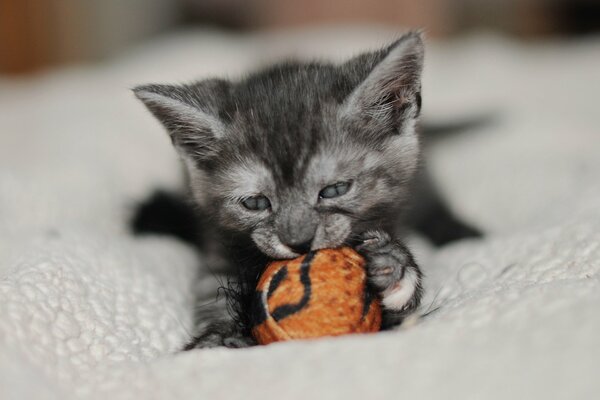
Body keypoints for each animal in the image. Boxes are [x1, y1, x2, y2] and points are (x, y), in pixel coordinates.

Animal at [134, 32, 476, 348]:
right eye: (255, 203)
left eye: (335, 189)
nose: (299, 242)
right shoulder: (217, 240)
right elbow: (211, 287)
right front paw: (218, 337)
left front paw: (394, 267)